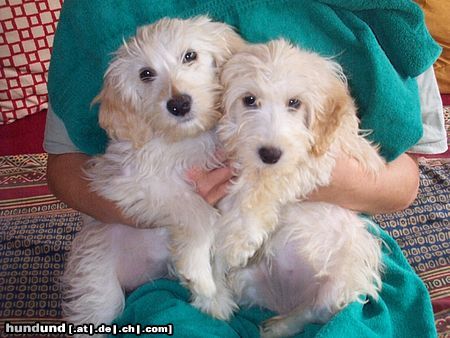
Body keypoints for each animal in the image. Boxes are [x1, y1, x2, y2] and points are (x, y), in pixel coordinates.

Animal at [62, 16, 244, 330]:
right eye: (146, 74)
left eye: (190, 56)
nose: (179, 104)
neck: (185, 139)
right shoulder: (133, 184)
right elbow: (200, 213)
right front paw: (199, 274)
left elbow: (219, 239)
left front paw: (214, 297)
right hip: (99, 289)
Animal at [200, 39, 384, 336]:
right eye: (249, 100)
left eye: (294, 103)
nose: (269, 153)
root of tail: (283, 299)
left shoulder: (320, 159)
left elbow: (266, 184)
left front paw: (240, 236)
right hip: (246, 278)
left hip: (341, 280)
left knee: (311, 312)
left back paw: (279, 326)